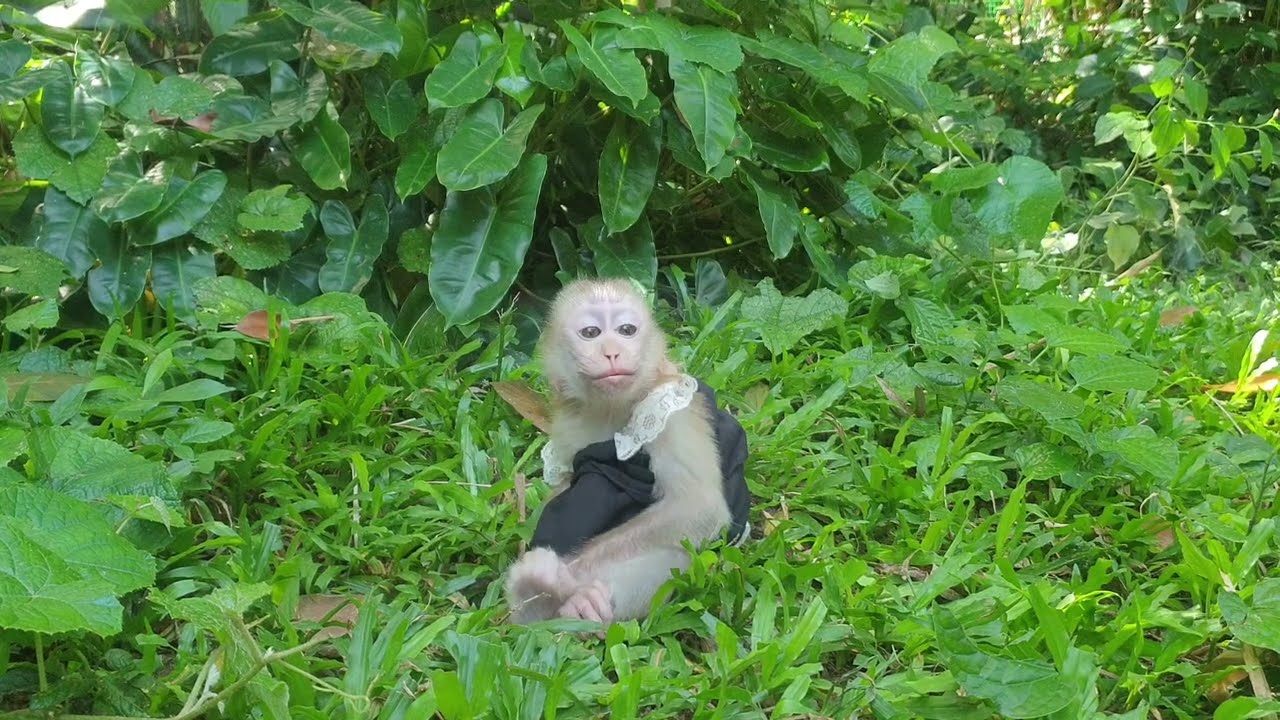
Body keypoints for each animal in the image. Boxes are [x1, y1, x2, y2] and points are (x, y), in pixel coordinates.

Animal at [503, 277, 751, 626]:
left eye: (626, 330)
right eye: (591, 333)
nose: (612, 352)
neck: (612, 409)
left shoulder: (671, 409)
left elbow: (698, 508)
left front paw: (569, 577)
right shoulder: (568, 423)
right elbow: (563, 485)